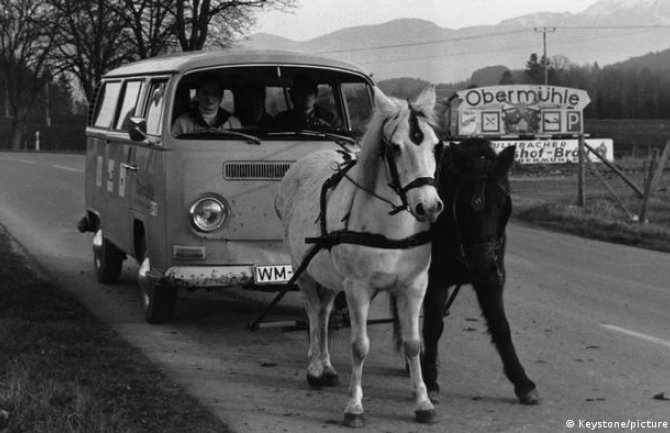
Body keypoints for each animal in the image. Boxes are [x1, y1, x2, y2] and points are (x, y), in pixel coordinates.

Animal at [278, 85, 446, 426]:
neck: (391, 228)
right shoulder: (357, 288)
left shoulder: (414, 286)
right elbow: (359, 346)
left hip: (331, 277)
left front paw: (422, 402)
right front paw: (354, 406)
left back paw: (327, 367)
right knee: (313, 313)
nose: (429, 207)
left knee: (325, 313)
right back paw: (314, 368)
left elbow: (413, 344)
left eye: (436, 146)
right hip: (303, 269)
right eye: (395, 147)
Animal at [420, 138, 540, 404]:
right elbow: (433, 325)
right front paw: (430, 378)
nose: (482, 265)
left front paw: (522, 381)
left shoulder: (494, 278)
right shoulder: (434, 278)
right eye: (463, 204)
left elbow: (500, 325)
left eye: (502, 204)